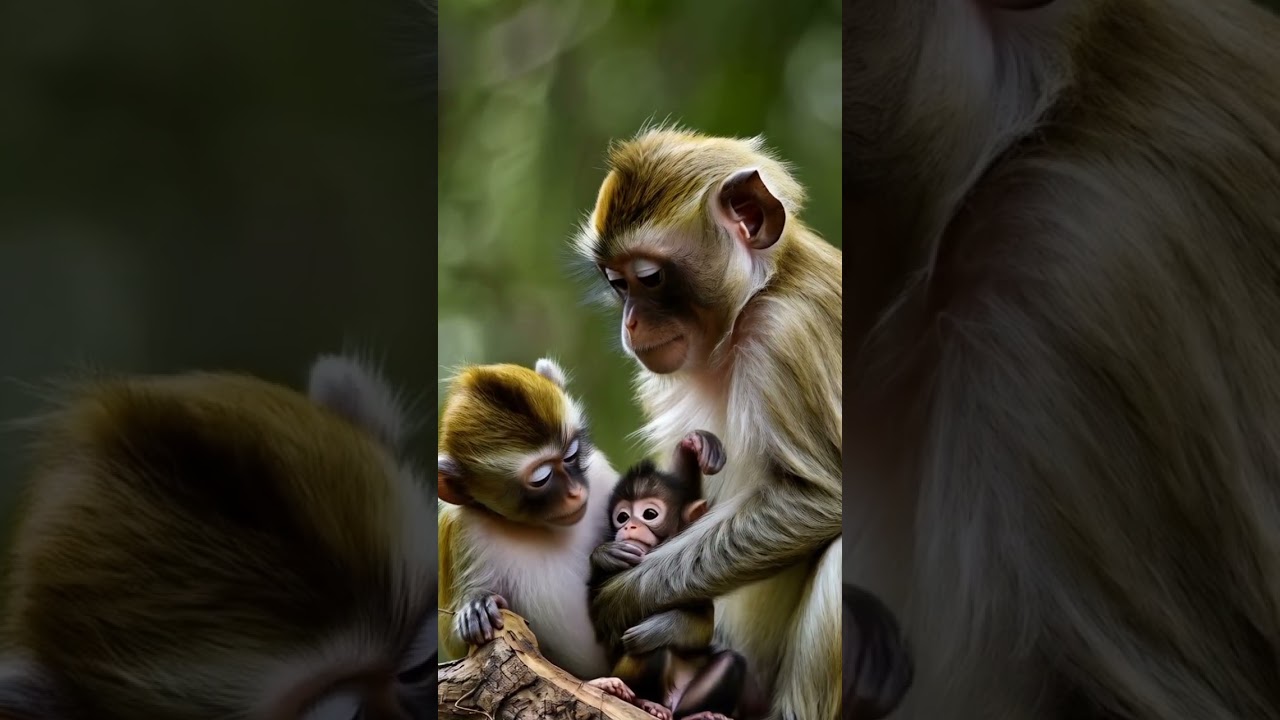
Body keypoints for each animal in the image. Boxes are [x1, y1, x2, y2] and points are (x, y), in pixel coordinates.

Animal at [436, 357, 619, 681]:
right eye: (541, 479)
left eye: (570, 454)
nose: (574, 493)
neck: (544, 526)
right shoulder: (463, 527)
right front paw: (475, 611)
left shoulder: (600, 476)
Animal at [587, 429, 756, 720]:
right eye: (622, 516)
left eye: (649, 514)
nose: (629, 526)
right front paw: (606, 554)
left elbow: (703, 626)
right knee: (648, 652)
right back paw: (636, 697)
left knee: (729, 661)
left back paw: (697, 713)